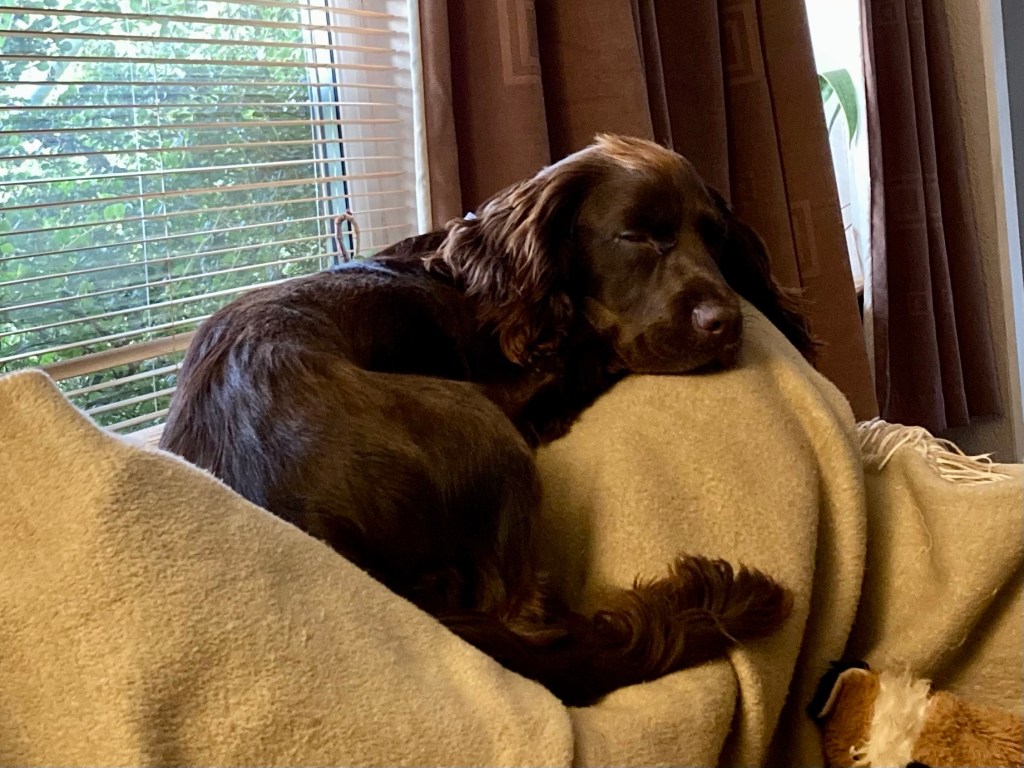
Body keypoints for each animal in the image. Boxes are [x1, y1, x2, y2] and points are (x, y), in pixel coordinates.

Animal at [160, 135, 813, 706]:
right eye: (634, 237)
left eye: (715, 238)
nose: (725, 323)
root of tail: (332, 545)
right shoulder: (511, 390)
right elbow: (583, 348)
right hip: (476, 421)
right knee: (530, 625)